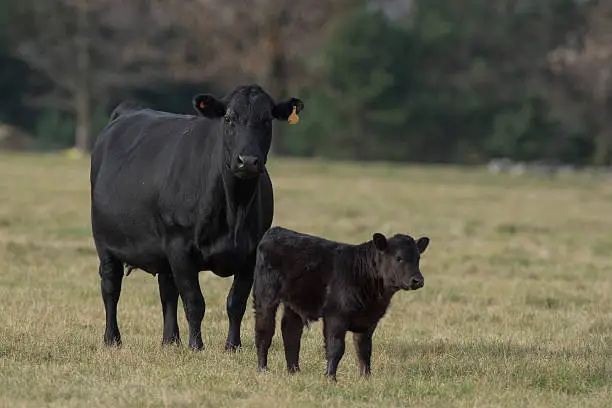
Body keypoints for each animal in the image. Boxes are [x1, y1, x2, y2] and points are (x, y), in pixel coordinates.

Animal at [89, 83, 304, 350]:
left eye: (266, 120)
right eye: (229, 119)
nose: (248, 161)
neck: (234, 209)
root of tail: (128, 111)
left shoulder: (251, 253)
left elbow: (236, 302)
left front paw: (232, 346)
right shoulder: (179, 247)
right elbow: (194, 301)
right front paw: (196, 346)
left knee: (167, 292)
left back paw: (170, 340)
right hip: (105, 244)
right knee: (111, 288)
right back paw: (112, 338)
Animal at [253, 226, 430, 380]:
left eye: (418, 258)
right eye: (398, 258)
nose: (418, 280)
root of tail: (276, 231)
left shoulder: (369, 320)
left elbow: (364, 349)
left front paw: (366, 377)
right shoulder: (336, 315)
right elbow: (336, 347)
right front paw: (331, 377)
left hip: (294, 303)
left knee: (291, 333)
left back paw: (294, 371)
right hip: (265, 297)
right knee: (264, 332)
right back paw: (262, 369)